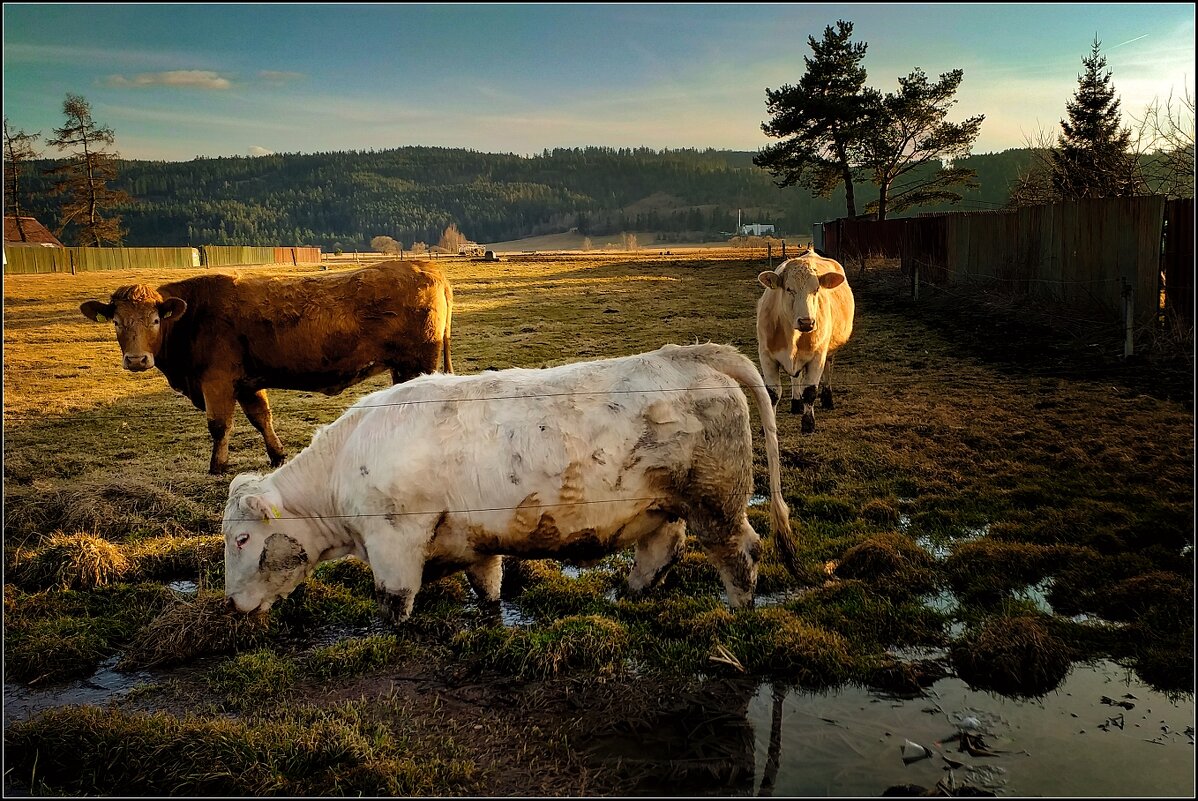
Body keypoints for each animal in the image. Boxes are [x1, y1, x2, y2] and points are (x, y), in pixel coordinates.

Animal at [79, 259, 452, 471]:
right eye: (116, 322)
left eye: (155, 320)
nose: (137, 360)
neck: (194, 316)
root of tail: (426, 267)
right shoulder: (246, 382)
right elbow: (261, 418)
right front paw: (277, 455)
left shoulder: (216, 380)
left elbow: (219, 425)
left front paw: (218, 465)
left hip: (418, 362)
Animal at [225, 340, 805, 622]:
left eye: (242, 539)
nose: (231, 605)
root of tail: (686, 354)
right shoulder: (475, 540)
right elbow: (488, 586)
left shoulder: (395, 541)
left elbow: (395, 603)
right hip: (663, 505)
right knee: (662, 551)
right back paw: (628, 595)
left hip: (716, 501)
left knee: (742, 551)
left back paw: (739, 611)